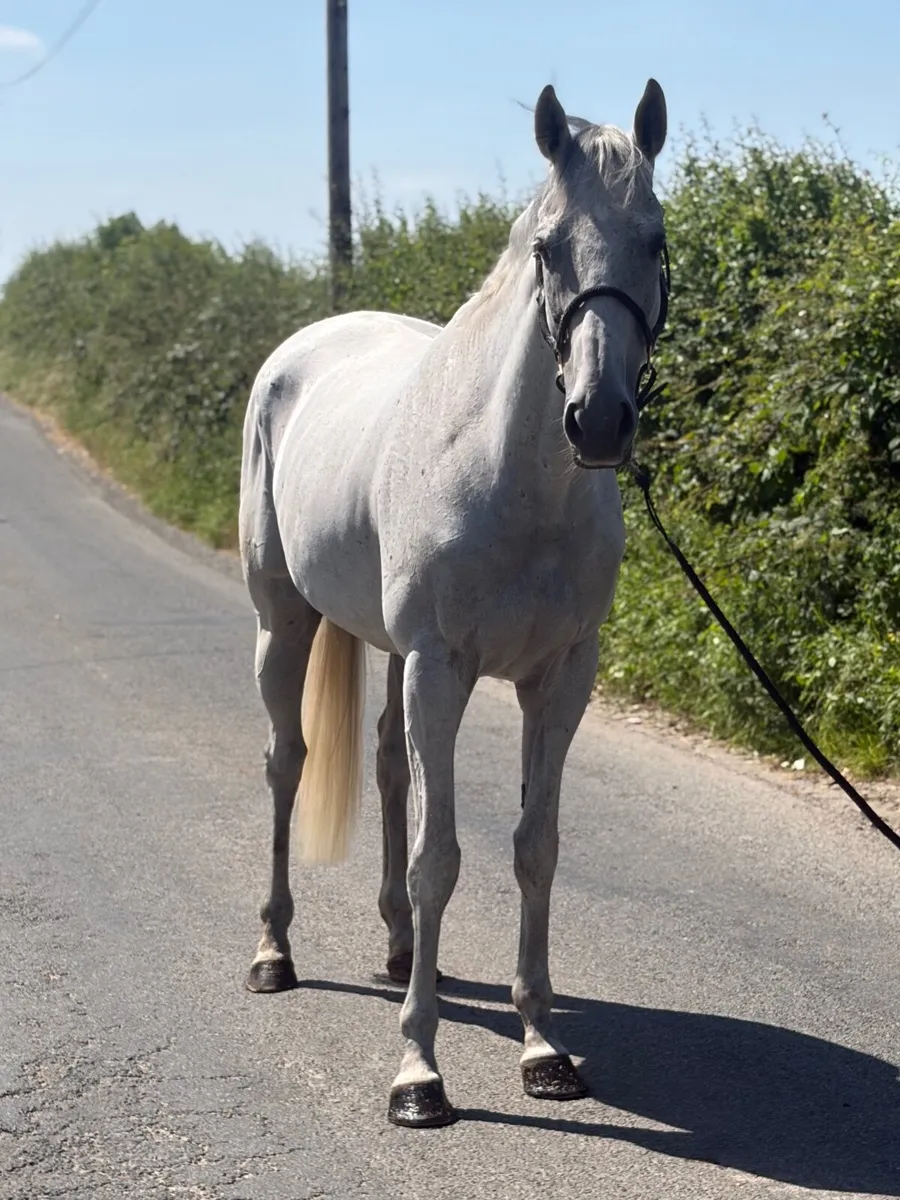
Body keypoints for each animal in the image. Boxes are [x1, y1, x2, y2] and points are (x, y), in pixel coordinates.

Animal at [239, 79, 669, 1128]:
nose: (599, 420)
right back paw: (274, 952)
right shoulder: (444, 670)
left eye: (655, 240)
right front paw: (419, 1072)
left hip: (395, 657)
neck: (511, 478)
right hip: (284, 622)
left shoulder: (559, 682)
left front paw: (545, 1047)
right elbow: (442, 859)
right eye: (548, 247)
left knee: (391, 771)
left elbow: (533, 848)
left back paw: (401, 952)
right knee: (285, 763)